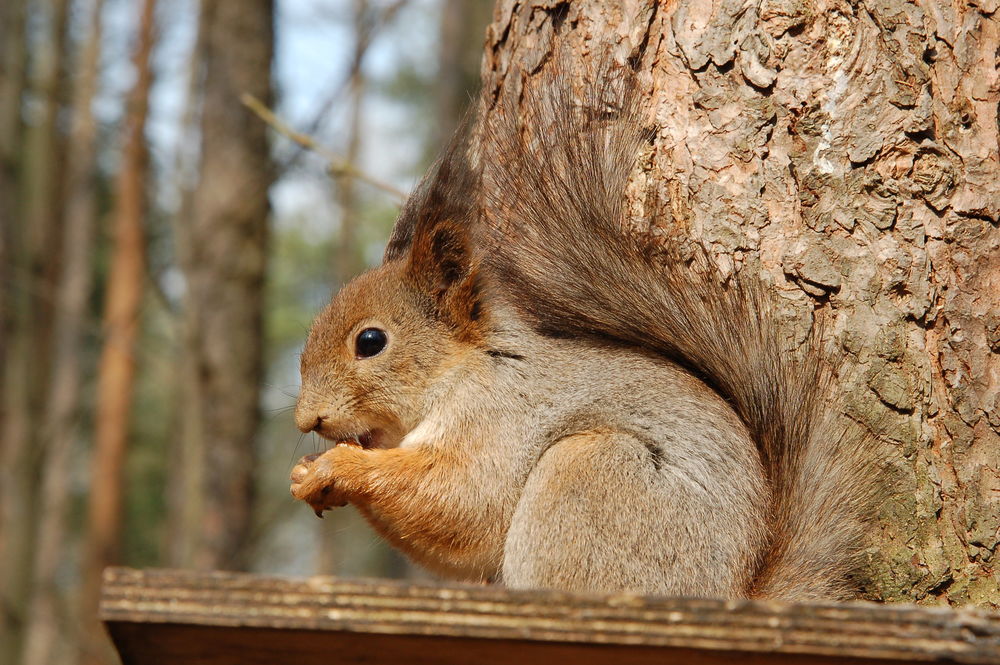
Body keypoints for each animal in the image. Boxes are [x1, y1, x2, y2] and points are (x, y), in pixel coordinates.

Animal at [290, 59, 877, 600]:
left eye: (370, 342)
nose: (306, 420)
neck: (466, 368)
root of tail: (729, 594)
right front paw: (307, 475)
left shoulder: (500, 420)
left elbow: (460, 505)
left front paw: (338, 468)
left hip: (590, 477)